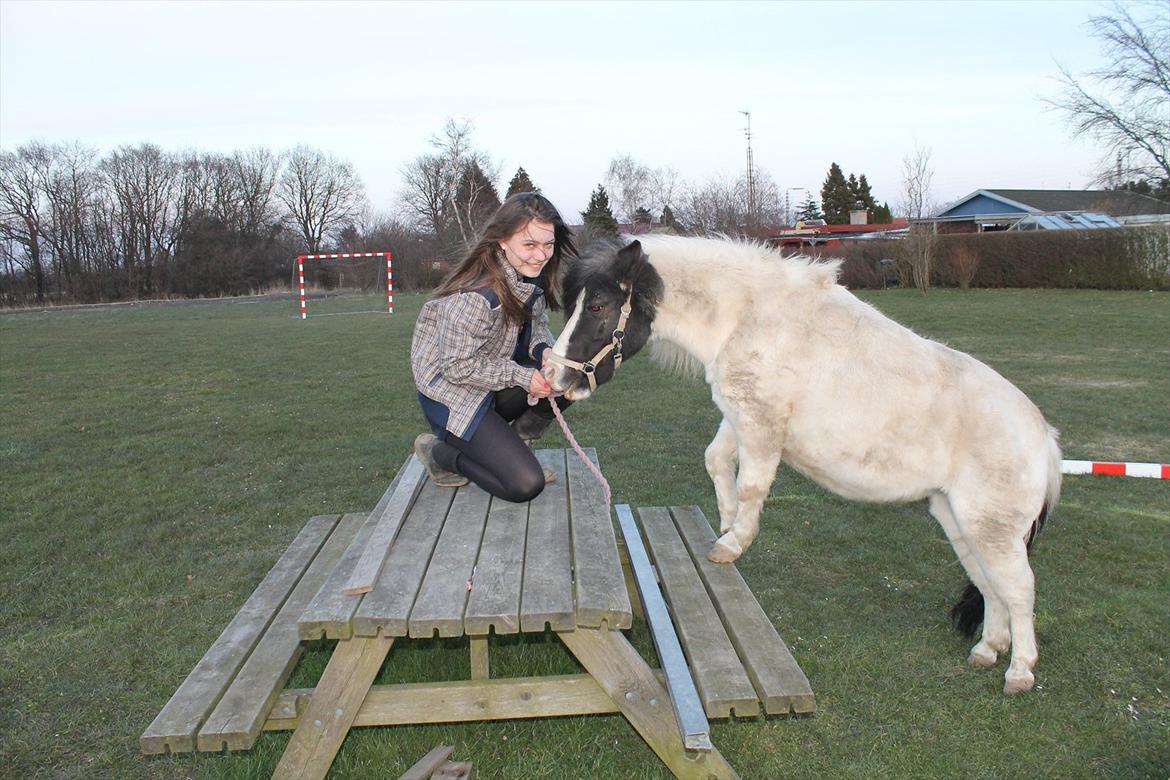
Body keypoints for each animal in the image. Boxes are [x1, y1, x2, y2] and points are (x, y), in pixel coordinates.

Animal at [545, 236, 1062, 696]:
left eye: (598, 307)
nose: (555, 376)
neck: (746, 317)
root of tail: (1044, 440)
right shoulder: (739, 418)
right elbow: (717, 461)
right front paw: (726, 521)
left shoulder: (761, 426)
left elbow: (752, 486)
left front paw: (732, 543)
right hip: (958, 521)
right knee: (990, 586)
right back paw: (987, 650)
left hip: (992, 530)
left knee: (1020, 591)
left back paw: (1020, 672)